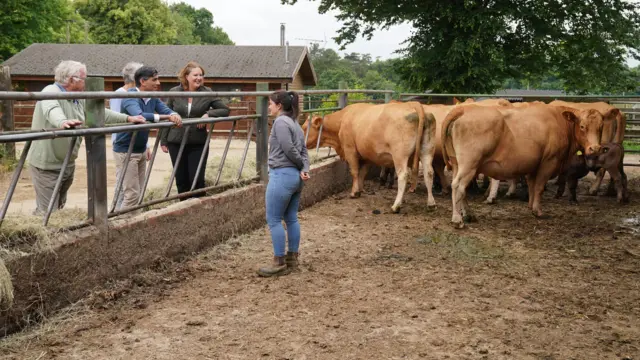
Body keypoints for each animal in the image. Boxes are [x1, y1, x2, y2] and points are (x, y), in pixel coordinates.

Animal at [304, 101, 436, 212]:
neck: (342, 120)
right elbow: (362, 173)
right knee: (429, 172)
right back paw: (431, 204)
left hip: (400, 155)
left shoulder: (350, 149)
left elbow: (355, 171)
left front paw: (354, 192)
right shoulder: (366, 155)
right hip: (426, 151)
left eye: (305, 128)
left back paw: (396, 206)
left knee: (403, 175)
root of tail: (413, 105)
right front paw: (360, 189)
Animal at [442, 104, 612, 228]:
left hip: (457, 163)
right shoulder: (548, 162)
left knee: (461, 188)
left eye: (600, 127)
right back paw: (457, 219)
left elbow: (532, 185)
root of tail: (465, 108)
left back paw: (469, 215)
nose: (595, 148)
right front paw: (538, 211)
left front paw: (531, 206)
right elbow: (539, 187)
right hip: (469, 163)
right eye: (582, 126)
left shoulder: (533, 165)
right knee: (458, 185)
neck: (560, 122)